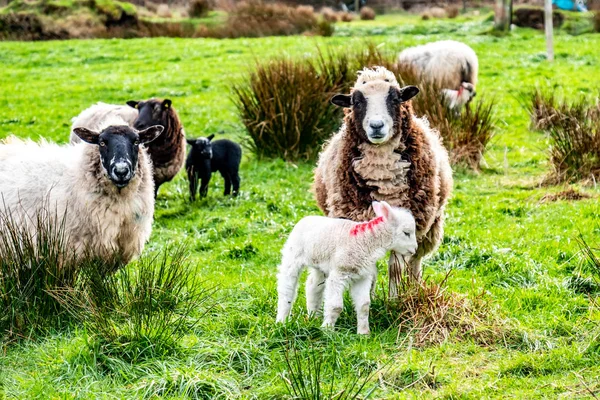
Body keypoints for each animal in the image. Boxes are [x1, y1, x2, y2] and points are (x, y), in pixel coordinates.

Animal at [276, 200, 418, 334]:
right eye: (406, 233)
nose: (415, 249)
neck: (367, 241)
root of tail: (306, 218)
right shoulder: (340, 272)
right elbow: (335, 306)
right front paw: (327, 330)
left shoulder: (362, 276)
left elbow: (364, 305)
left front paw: (363, 333)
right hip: (293, 255)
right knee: (286, 288)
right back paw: (282, 320)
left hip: (320, 264)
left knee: (312, 285)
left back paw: (314, 317)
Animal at [312, 65, 452, 296]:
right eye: (356, 102)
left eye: (395, 98)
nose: (376, 126)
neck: (381, 171)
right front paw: (366, 295)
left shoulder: (410, 221)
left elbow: (396, 267)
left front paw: (394, 299)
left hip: (431, 226)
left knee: (416, 260)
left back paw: (414, 287)